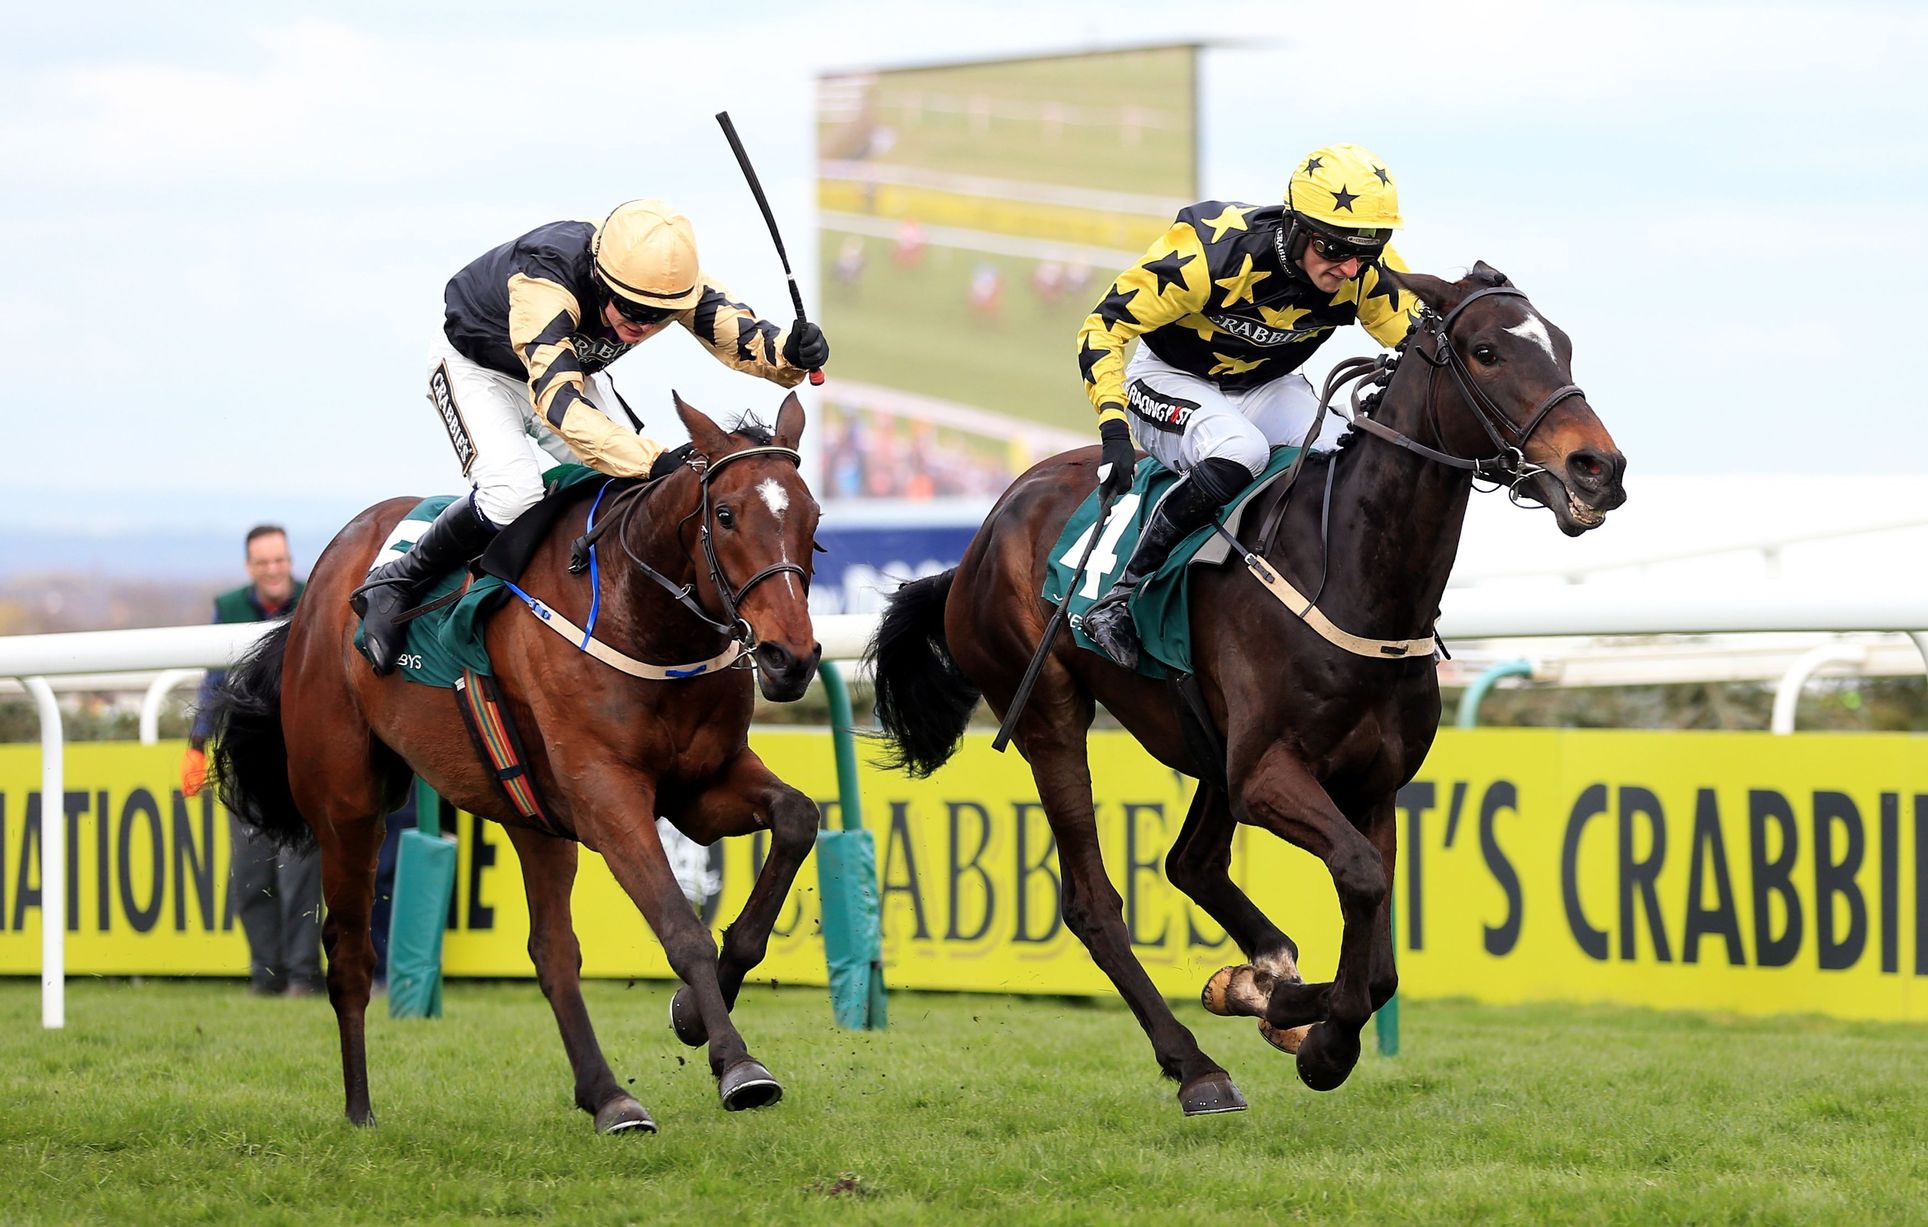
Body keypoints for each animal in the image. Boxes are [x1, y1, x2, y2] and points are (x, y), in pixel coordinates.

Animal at [213, 393, 829, 1134]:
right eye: (728, 514)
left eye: (812, 517)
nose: (790, 658)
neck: (641, 615)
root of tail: (314, 593)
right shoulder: (607, 797)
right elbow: (681, 928)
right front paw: (737, 1062)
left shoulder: (701, 786)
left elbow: (797, 818)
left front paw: (692, 1014)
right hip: (346, 806)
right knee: (352, 954)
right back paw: (360, 1108)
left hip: (529, 813)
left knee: (552, 951)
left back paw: (608, 1096)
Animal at [875, 266, 1627, 1111]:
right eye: (1487, 350)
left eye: (1561, 344)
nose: (1599, 468)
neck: (1352, 572)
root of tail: (979, 539)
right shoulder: (1269, 771)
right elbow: (1361, 887)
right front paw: (1322, 1041)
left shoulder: (1371, 783)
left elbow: (1379, 952)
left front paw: (1273, 998)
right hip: (1049, 713)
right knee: (1094, 902)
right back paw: (1196, 1065)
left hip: (1209, 748)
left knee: (1191, 863)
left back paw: (1256, 979)